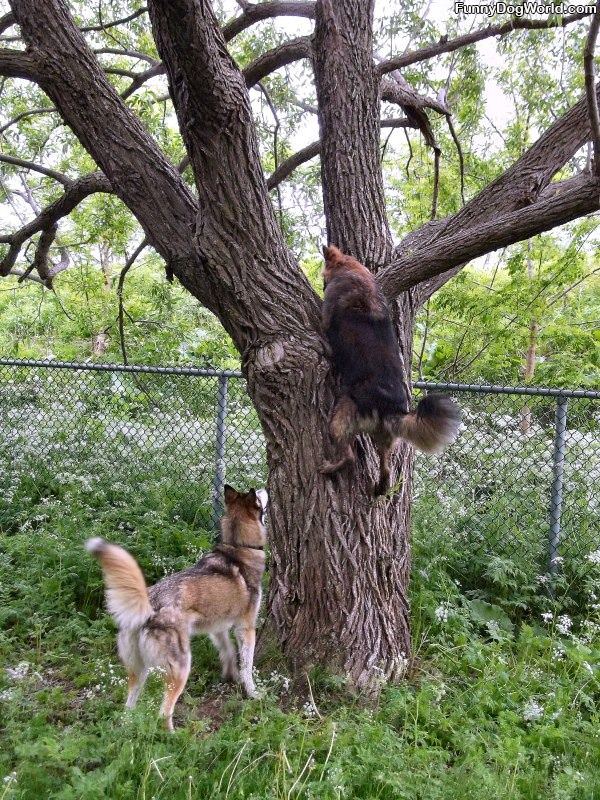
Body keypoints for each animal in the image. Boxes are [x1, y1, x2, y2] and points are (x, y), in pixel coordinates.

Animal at [86, 484, 268, 728]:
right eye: (258, 496)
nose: (266, 487)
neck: (237, 546)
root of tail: (149, 606)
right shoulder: (246, 628)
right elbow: (247, 665)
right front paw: (252, 693)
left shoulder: (217, 627)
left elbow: (227, 651)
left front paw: (230, 675)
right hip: (181, 668)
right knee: (163, 712)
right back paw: (174, 734)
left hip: (138, 670)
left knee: (128, 707)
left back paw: (129, 725)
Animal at [322, 244, 462, 494]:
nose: (322, 285)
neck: (352, 270)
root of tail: (391, 409)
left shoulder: (326, 315)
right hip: (385, 439)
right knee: (386, 470)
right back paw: (380, 487)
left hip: (340, 419)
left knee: (349, 456)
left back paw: (332, 467)